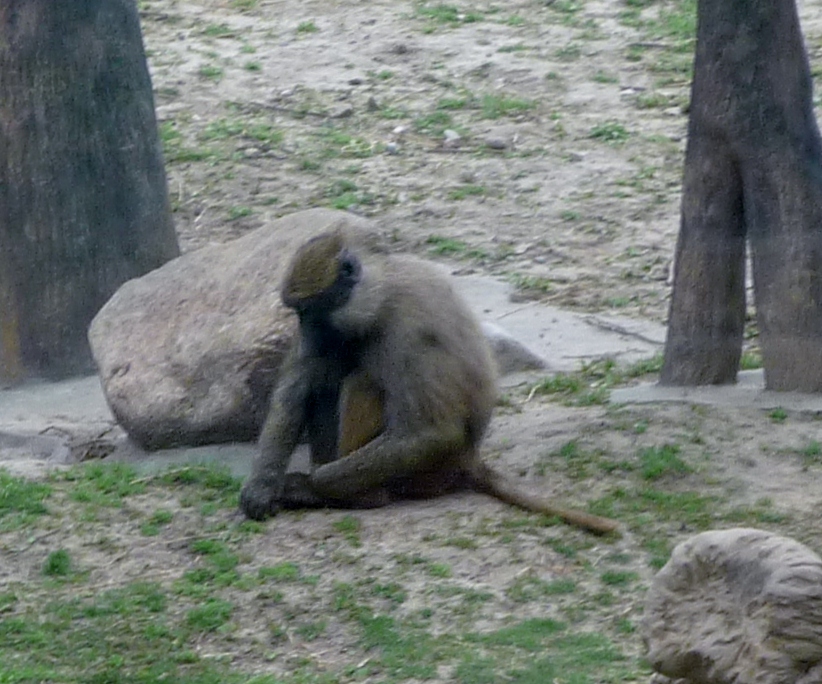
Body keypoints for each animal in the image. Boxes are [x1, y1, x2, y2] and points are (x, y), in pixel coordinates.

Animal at [239, 227, 619, 535]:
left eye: (313, 312)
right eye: (299, 313)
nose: (307, 335)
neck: (381, 293)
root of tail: (469, 460)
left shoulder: (409, 328)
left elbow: (433, 433)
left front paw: (311, 484)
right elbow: (296, 390)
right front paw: (263, 487)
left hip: (428, 473)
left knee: (363, 382)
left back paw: (363, 496)